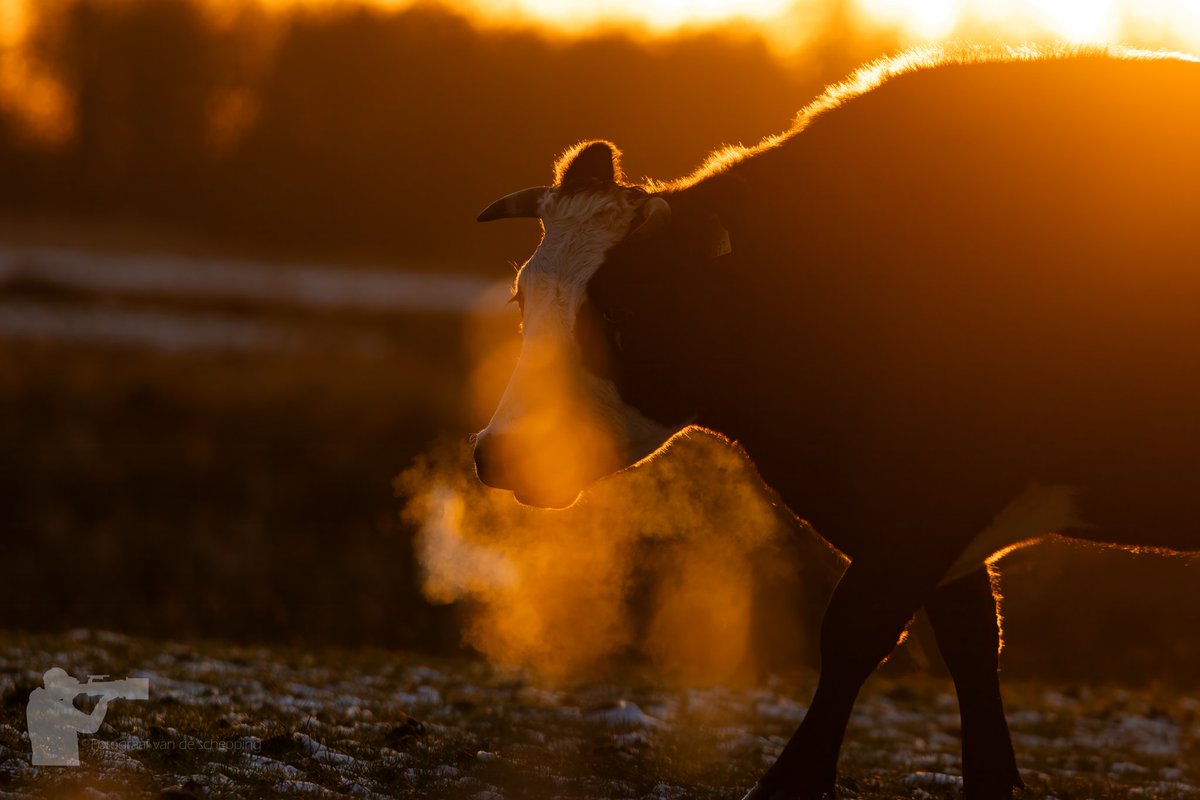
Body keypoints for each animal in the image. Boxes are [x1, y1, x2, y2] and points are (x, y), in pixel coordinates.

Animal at [472, 45, 1200, 800]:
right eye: (523, 300)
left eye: (626, 313)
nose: (501, 453)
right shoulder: (923, 520)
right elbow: (972, 643)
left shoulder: (937, 501)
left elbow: (854, 634)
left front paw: (786, 781)